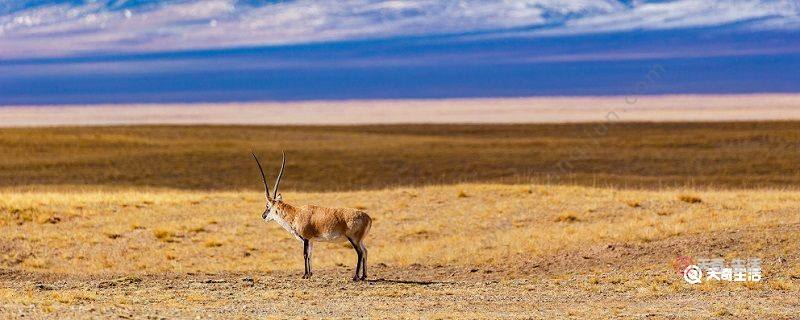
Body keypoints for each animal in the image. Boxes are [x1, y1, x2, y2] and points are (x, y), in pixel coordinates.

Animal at [252, 152, 374, 280]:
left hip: (354, 239)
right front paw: (310, 274)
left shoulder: (306, 238)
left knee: (360, 253)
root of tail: (368, 218)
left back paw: (356, 277)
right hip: (360, 240)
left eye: (267, 205)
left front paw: (305, 275)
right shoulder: (311, 240)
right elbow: (310, 254)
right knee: (365, 251)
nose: (263, 216)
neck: (296, 214)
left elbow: (305, 254)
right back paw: (364, 276)